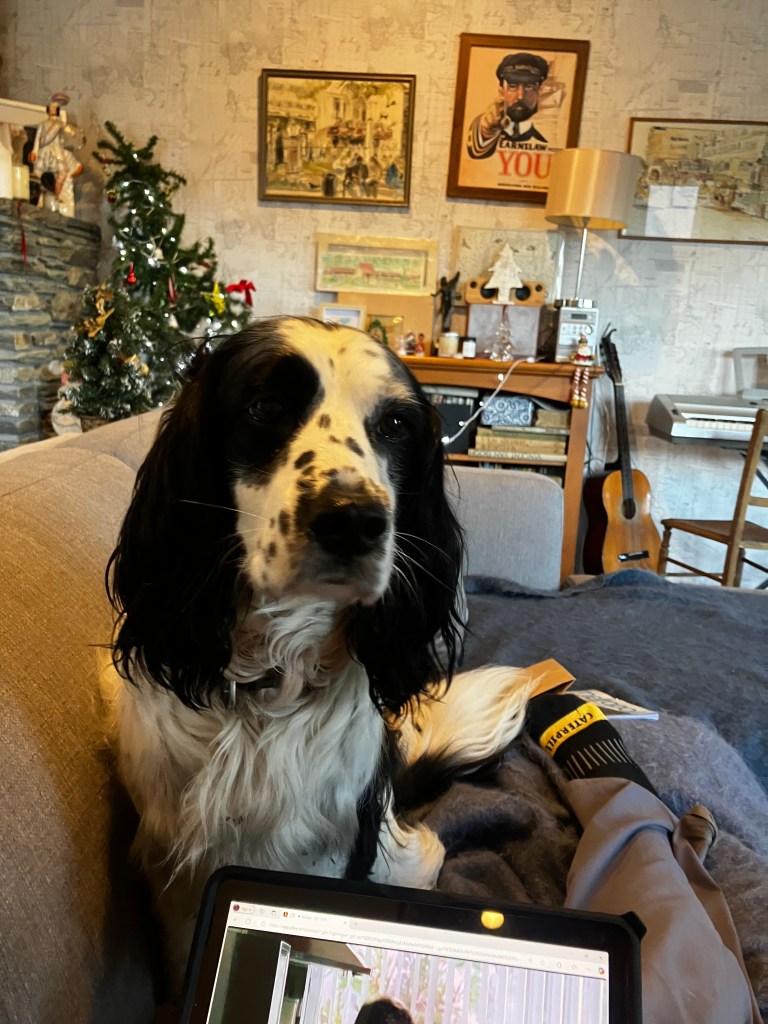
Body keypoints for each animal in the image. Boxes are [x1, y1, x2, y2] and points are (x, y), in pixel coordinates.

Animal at [102, 316, 533, 976]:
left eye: (395, 426)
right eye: (266, 406)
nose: (353, 520)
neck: (271, 685)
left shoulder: (332, 853)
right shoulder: (177, 868)